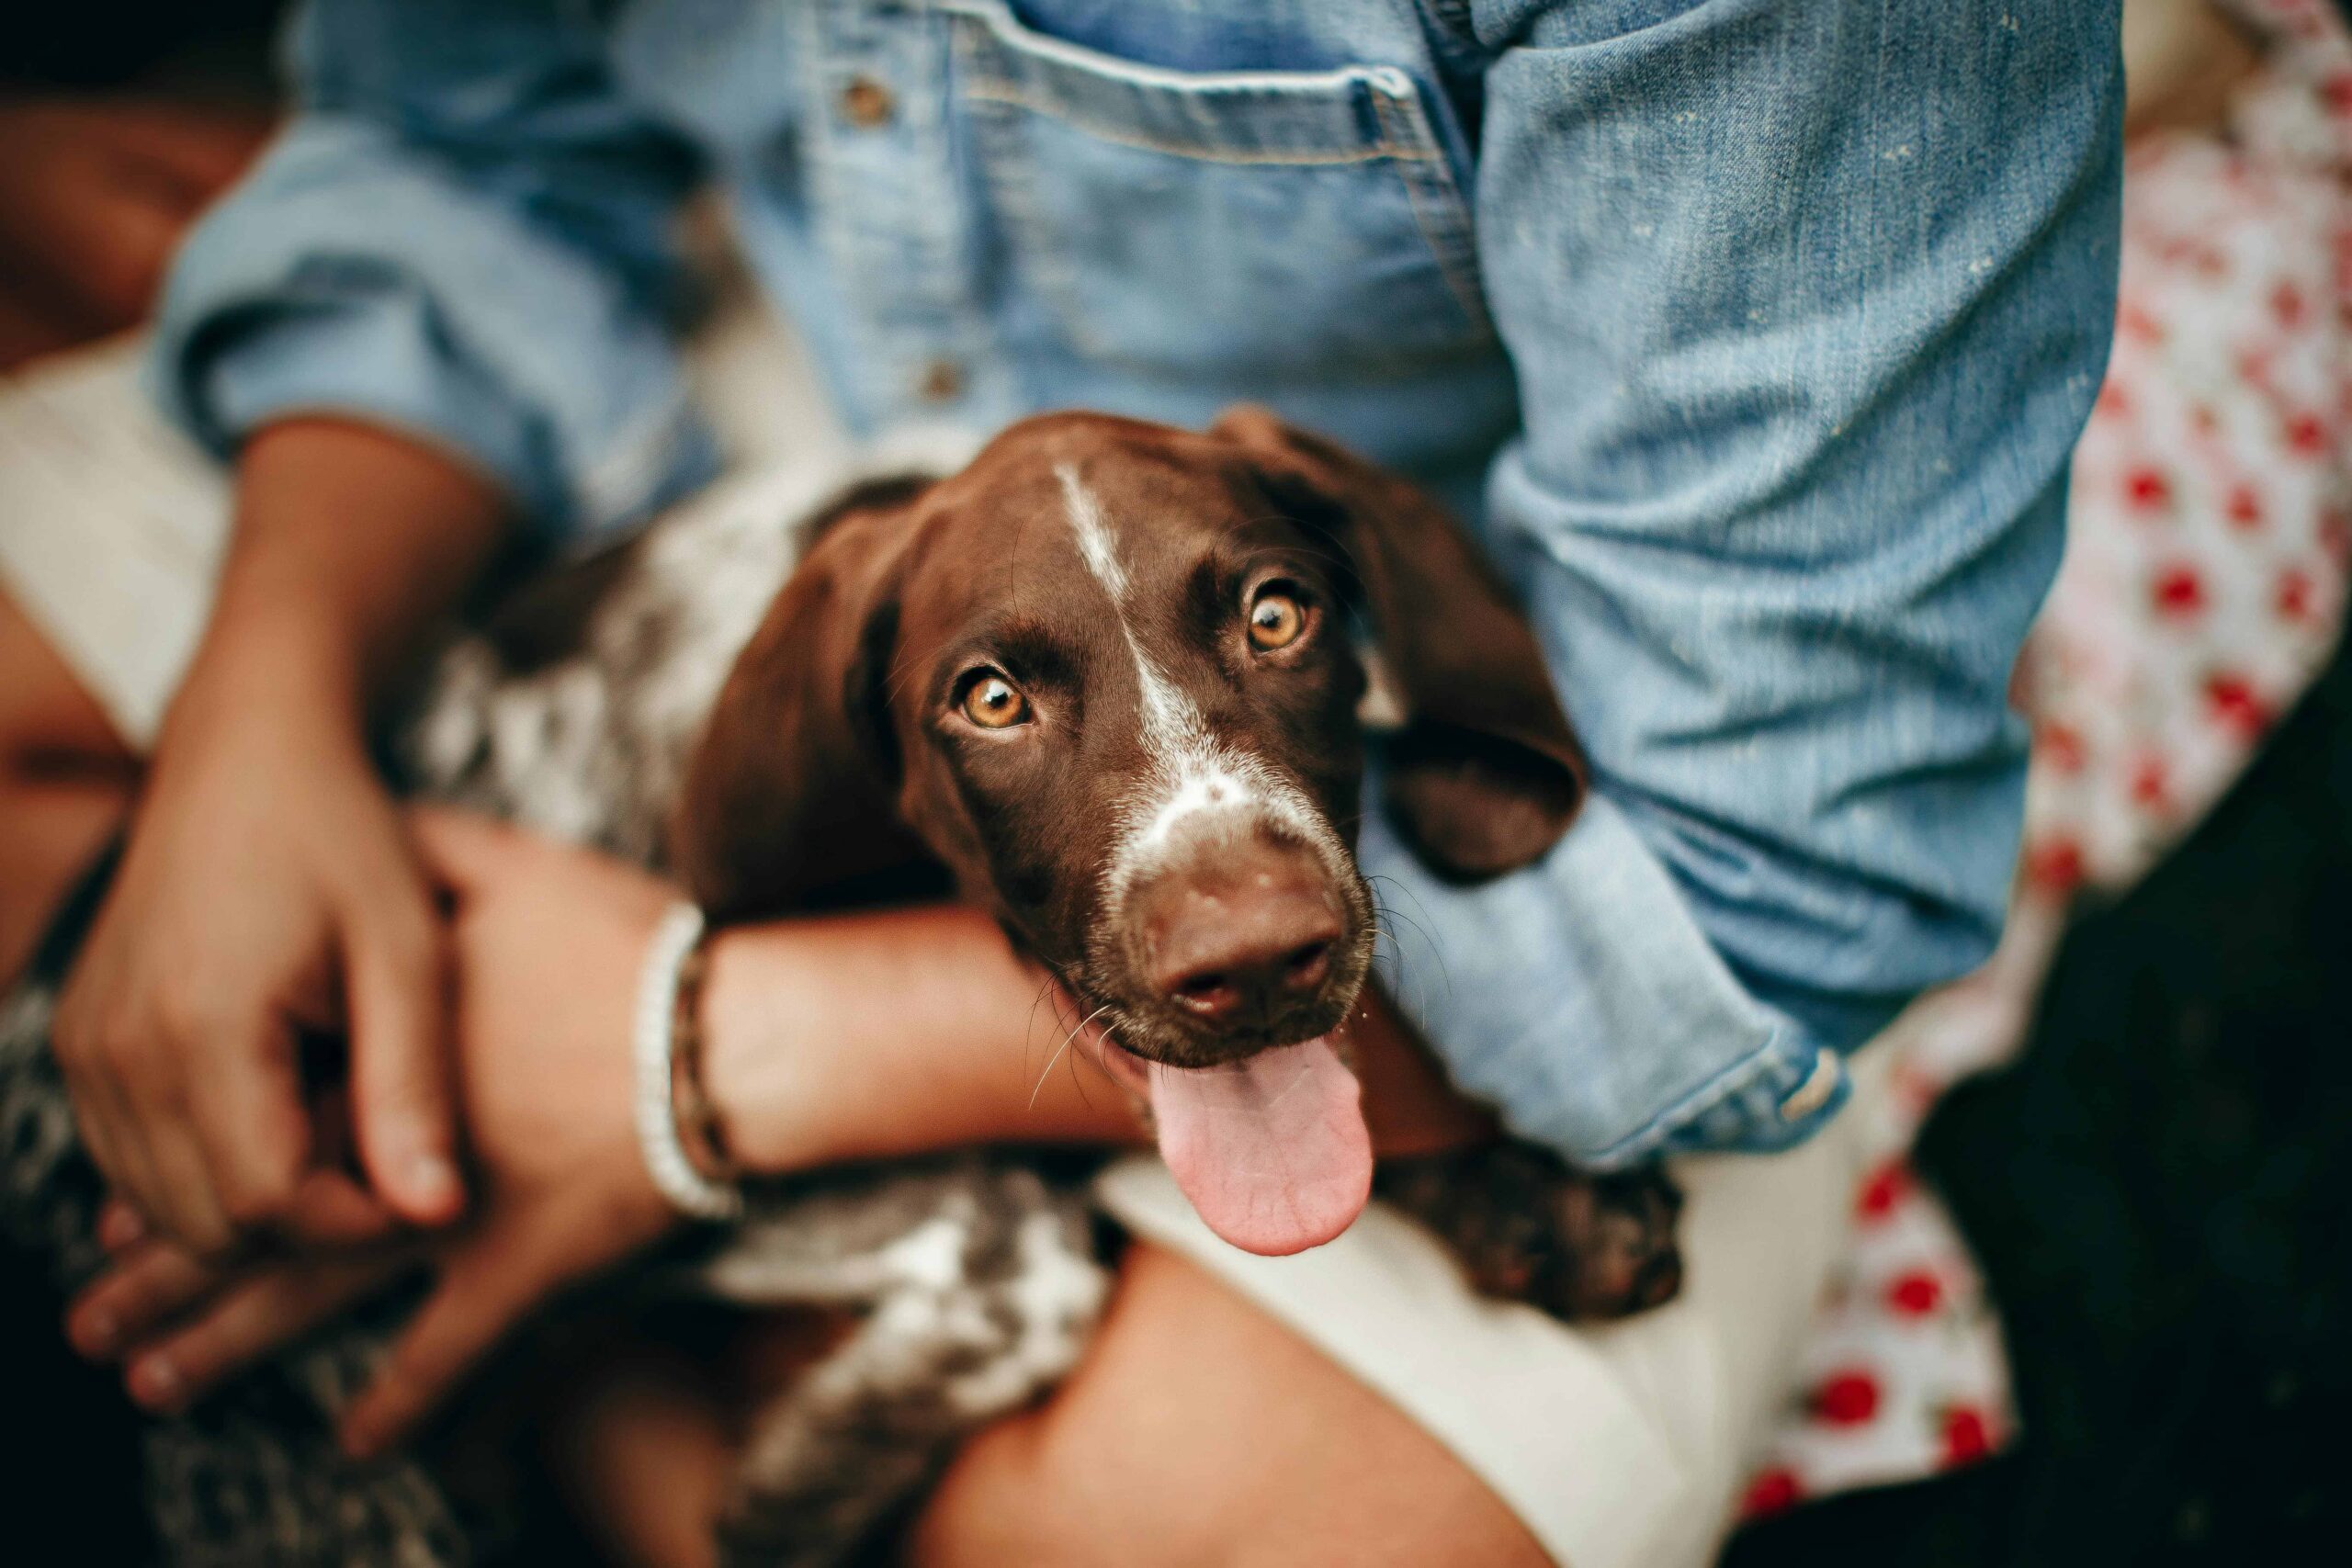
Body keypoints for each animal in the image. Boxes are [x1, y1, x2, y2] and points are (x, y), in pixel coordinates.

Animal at [409, 409, 1693, 1568]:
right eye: (989, 700)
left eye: (1276, 616)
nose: (1256, 962)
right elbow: (1029, 1258)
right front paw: (803, 1485)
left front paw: (1532, 1187)